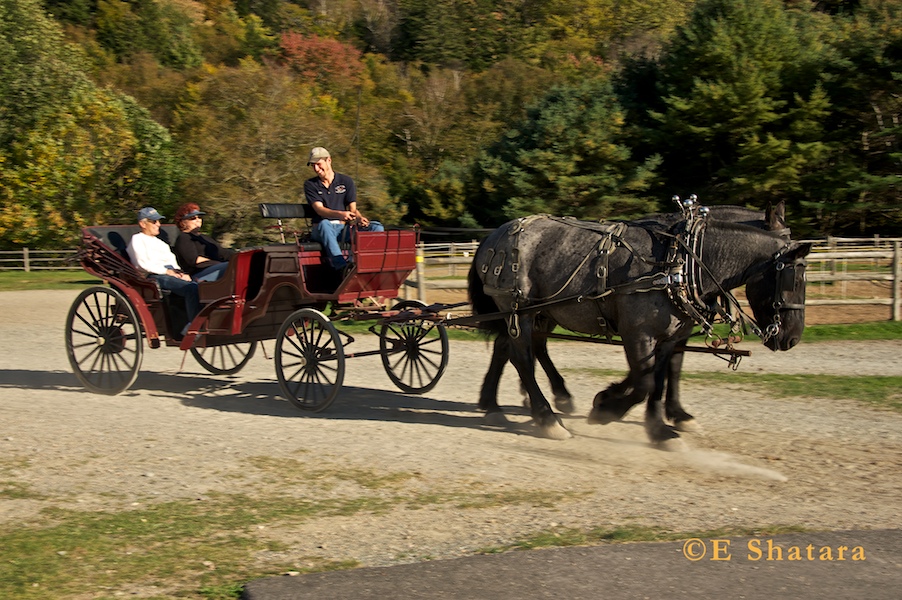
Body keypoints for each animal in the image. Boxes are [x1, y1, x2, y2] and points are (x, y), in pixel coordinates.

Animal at [470, 202, 808, 446]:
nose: (791, 338)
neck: (680, 262)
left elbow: (663, 376)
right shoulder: (638, 334)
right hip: (519, 309)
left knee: (515, 348)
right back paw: (547, 418)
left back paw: (499, 404)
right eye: (791, 278)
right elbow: (645, 382)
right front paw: (606, 408)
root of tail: (496, 234)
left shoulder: (673, 336)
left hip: (540, 311)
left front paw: (662, 424)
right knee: (522, 357)